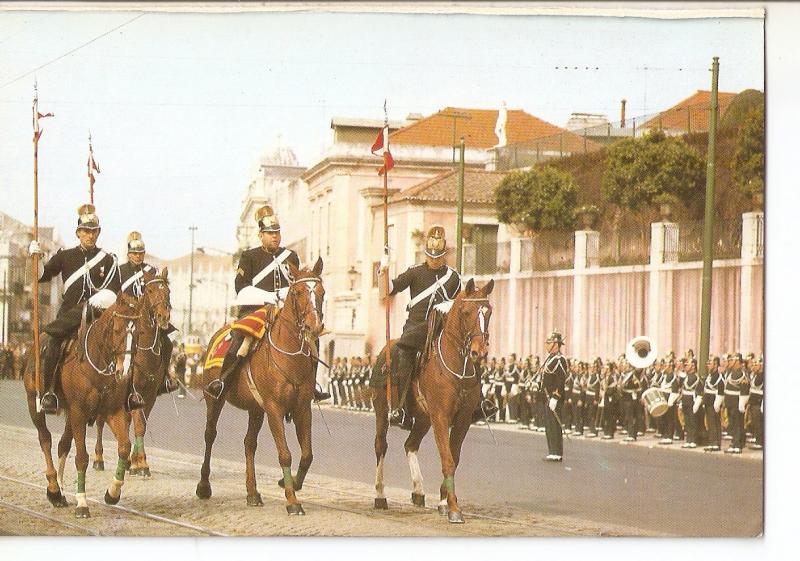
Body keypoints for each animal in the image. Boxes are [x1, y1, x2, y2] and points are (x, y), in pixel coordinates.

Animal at [24, 290, 144, 520]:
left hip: (70, 414)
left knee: (63, 444)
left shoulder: (113, 411)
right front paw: (82, 503)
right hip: (35, 404)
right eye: (117, 330)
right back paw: (54, 489)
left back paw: (60, 494)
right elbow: (81, 458)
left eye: (139, 333)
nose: (124, 372)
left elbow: (124, 447)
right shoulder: (79, 412)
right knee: (45, 440)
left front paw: (112, 493)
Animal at [93, 268, 173, 476]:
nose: (163, 316)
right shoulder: (133, 392)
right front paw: (137, 462)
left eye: (168, 291)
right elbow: (131, 423)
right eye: (150, 290)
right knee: (99, 421)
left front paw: (139, 462)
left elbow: (140, 425)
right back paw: (98, 458)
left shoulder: (148, 395)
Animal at [195, 256, 324, 516]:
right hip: (215, 399)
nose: (313, 327)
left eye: (322, 292)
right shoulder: (274, 409)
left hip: (255, 409)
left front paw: (291, 483)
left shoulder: (302, 408)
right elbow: (285, 454)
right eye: (297, 292)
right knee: (210, 435)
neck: (289, 355)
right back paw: (204, 486)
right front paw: (292, 501)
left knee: (249, 444)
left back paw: (252, 493)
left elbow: (307, 454)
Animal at [370, 278, 494, 524]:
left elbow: (454, 458)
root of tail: (384, 351)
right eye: (466, 312)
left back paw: (418, 491)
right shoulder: (441, 417)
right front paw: (454, 508)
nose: (479, 353)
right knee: (381, 446)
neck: (458, 369)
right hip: (383, 412)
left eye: (489, 311)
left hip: (423, 419)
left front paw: (445, 502)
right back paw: (380, 495)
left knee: (410, 445)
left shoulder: (462, 419)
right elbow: (447, 459)